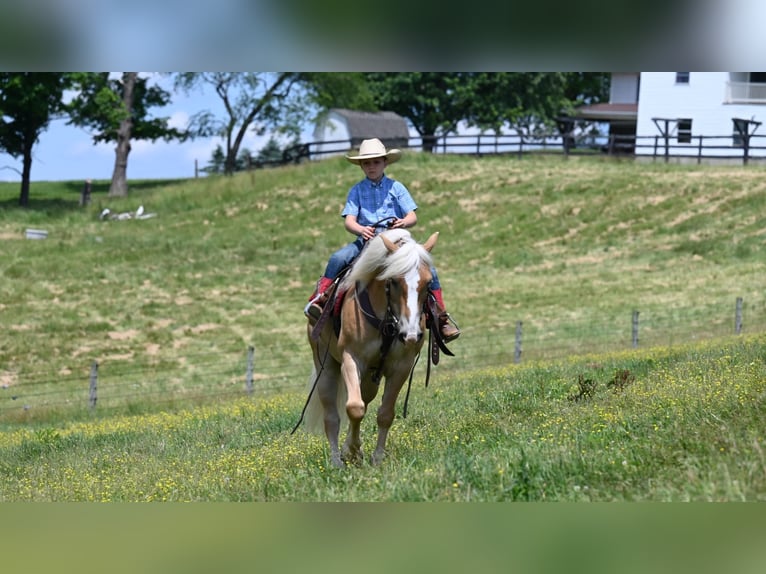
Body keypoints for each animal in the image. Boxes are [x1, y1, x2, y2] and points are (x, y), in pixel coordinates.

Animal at [304, 230, 440, 468]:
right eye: (393, 281)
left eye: (428, 282)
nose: (411, 335)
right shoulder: (352, 359)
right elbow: (354, 408)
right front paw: (352, 451)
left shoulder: (401, 367)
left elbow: (385, 413)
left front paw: (375, 458)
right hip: (326, 367)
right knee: (332, 417)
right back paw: (337, 461)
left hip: (370, 377)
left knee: (365, 401)